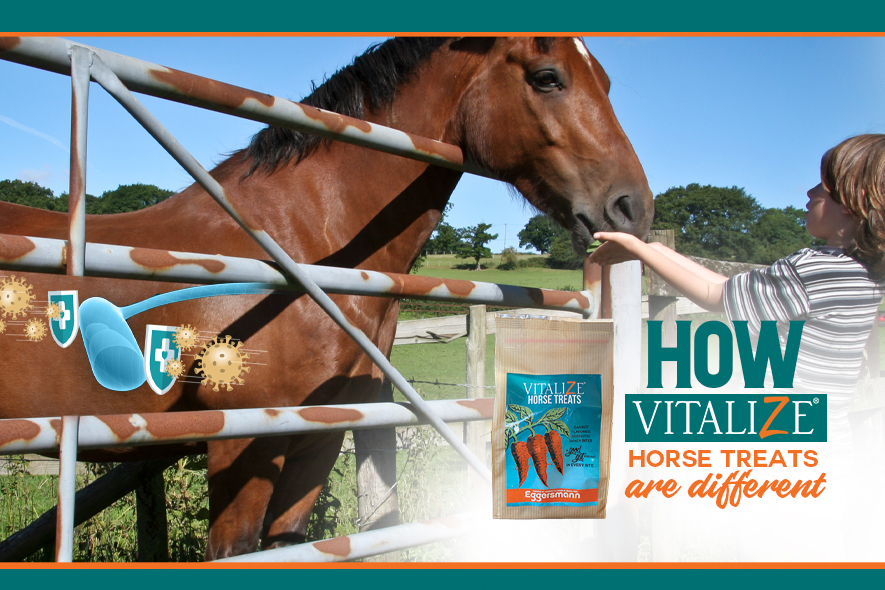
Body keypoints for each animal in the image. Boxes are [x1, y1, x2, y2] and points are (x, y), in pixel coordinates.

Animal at [0, 37, 653, 559]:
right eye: (547, 76)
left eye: (607, 82)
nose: (634, 209)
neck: (299, 241)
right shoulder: (241, 443)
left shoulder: (318, 433)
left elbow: (289, 542)